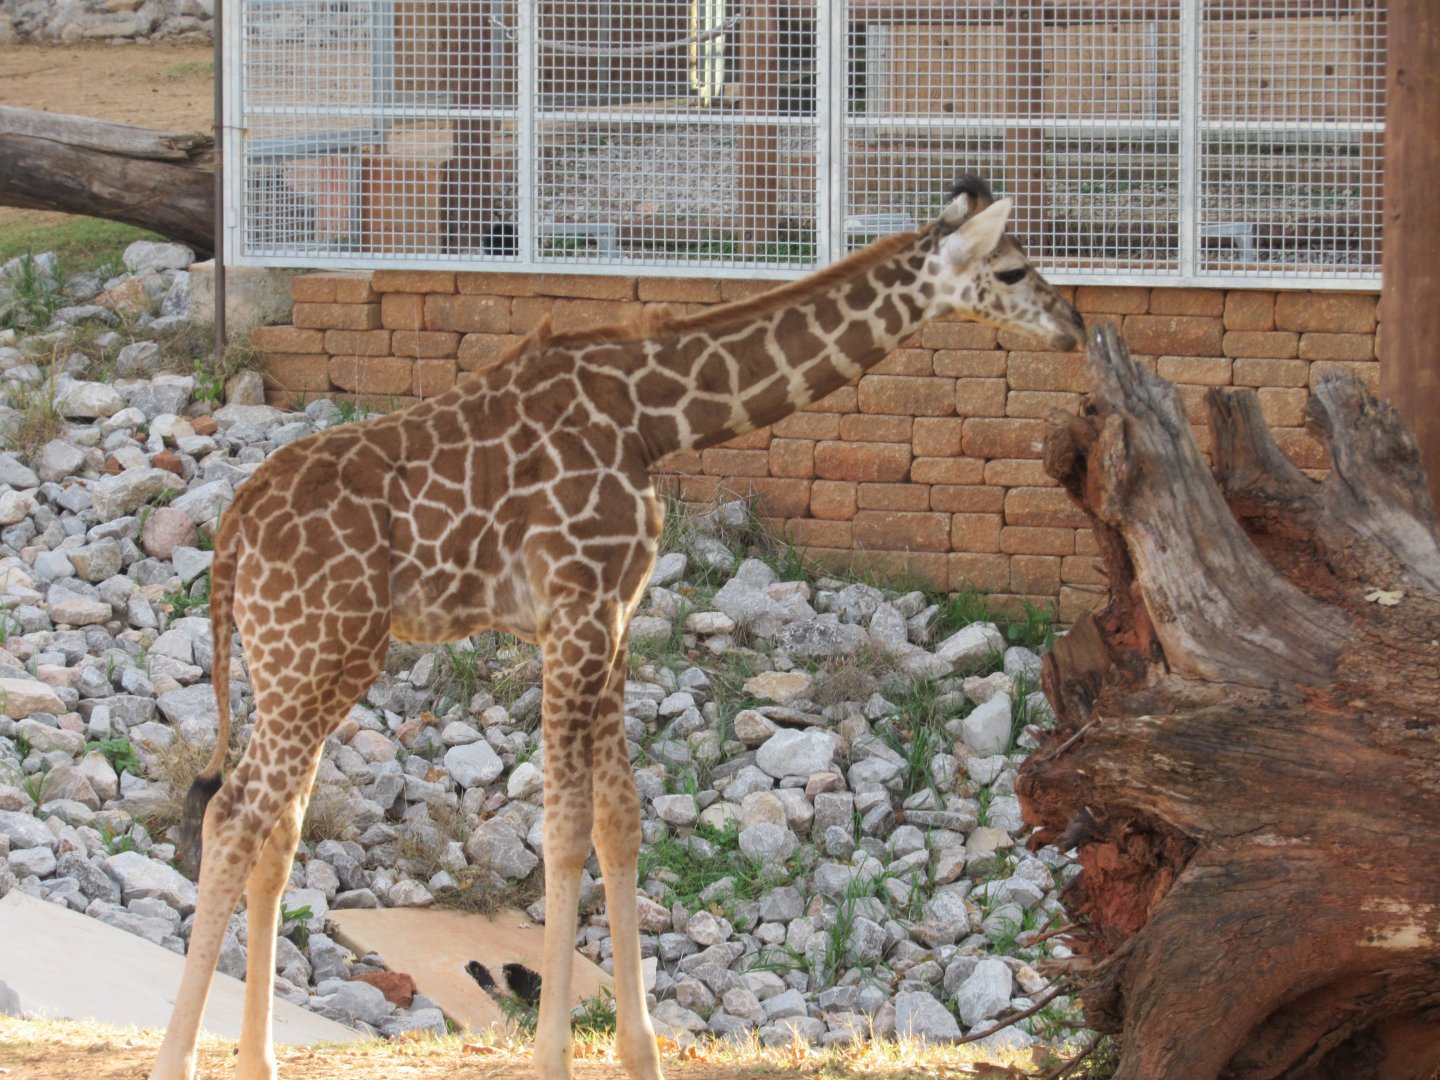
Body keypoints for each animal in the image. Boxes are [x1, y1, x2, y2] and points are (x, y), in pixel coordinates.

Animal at [148, 175, 1084, 1080]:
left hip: (309, 664)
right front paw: (554, 1055)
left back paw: (259, 1061)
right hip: (317, 651)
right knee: (231, 818)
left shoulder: (618, 616)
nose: (1074, 328)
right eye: (1012, 271)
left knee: (277, 831)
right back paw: (177, 1059)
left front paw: (641, 1054)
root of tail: (232, 532)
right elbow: (563, 833)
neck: (652, 417)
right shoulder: (575, 610)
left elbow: (620, 821)